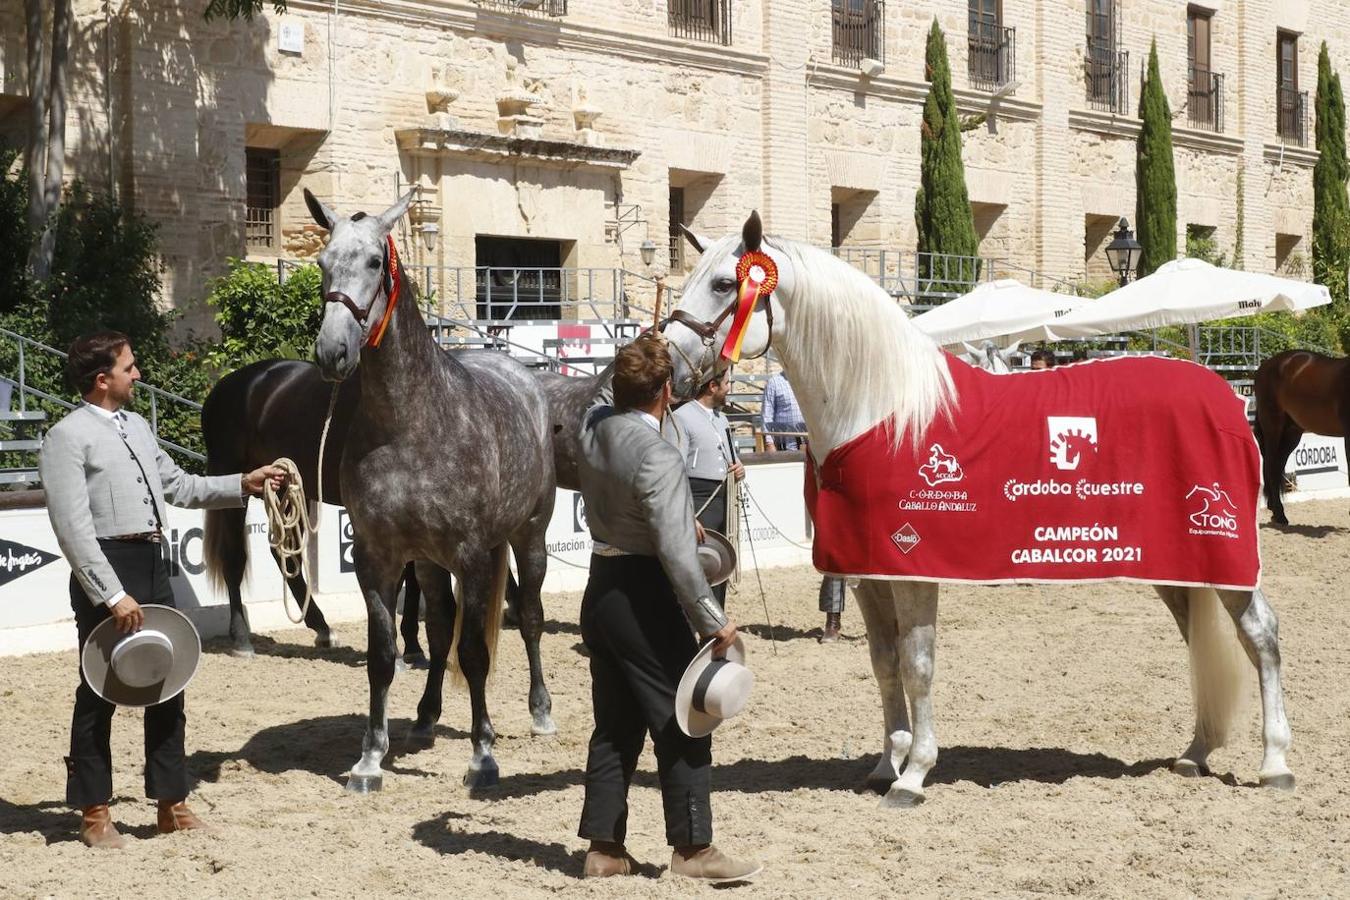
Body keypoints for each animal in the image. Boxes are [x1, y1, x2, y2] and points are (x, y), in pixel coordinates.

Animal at [306, 188, 558, 788]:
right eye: (322, 263)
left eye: (375, 262)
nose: (332, 353)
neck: (410, 425)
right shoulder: (378, 558)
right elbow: (384, 654)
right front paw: (370, 758)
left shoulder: (471, 554)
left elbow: (476, 653)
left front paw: (483, 754)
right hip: (427, 562)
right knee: (440, 630)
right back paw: (425, 716)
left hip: (528, 538)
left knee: (529, 617)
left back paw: (540, 711)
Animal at [664, 215, 1296, 809]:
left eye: (724, 284)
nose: (665, 365)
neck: (886, 412)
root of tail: (1226, 398)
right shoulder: (870, 574)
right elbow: (884, 662)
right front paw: (885, 765)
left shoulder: (914, 569)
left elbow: (918, 665)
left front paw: (914, 775)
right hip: (1173, 564)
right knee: (1198, 639)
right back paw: (1195, 754)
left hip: (1225, 553)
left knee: (1260, 636)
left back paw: (1275, 765)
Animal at [1247, 348, 1344, 523]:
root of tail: (1264, 366)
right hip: (1273, 427)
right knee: (1272, 465)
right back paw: (1280, 514)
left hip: (1291, 432)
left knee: (1278, 464)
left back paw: (1273, 506)